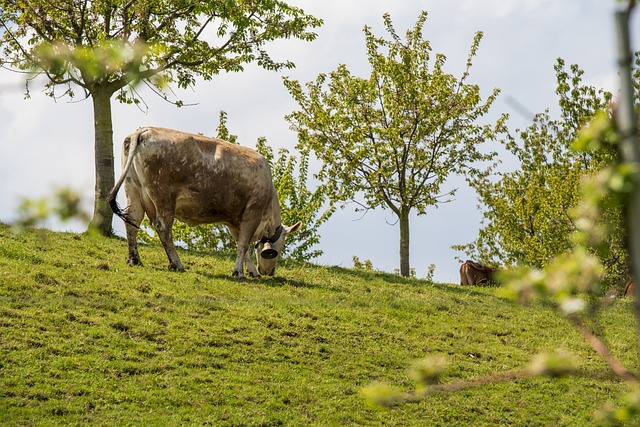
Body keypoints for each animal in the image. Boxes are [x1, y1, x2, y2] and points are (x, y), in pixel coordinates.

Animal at [106, 125, 302, 280]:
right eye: (277, 250)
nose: (270, 272)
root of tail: (144, 130)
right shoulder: (252, 212)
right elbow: (243, 245)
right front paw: (239, 272)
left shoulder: (235, 220)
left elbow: (242, 245)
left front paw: (252, 271)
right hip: (163, 197)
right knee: (163, 228)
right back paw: (176, 264)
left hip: (133, 190)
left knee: (132, 221)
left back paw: (134, 259)